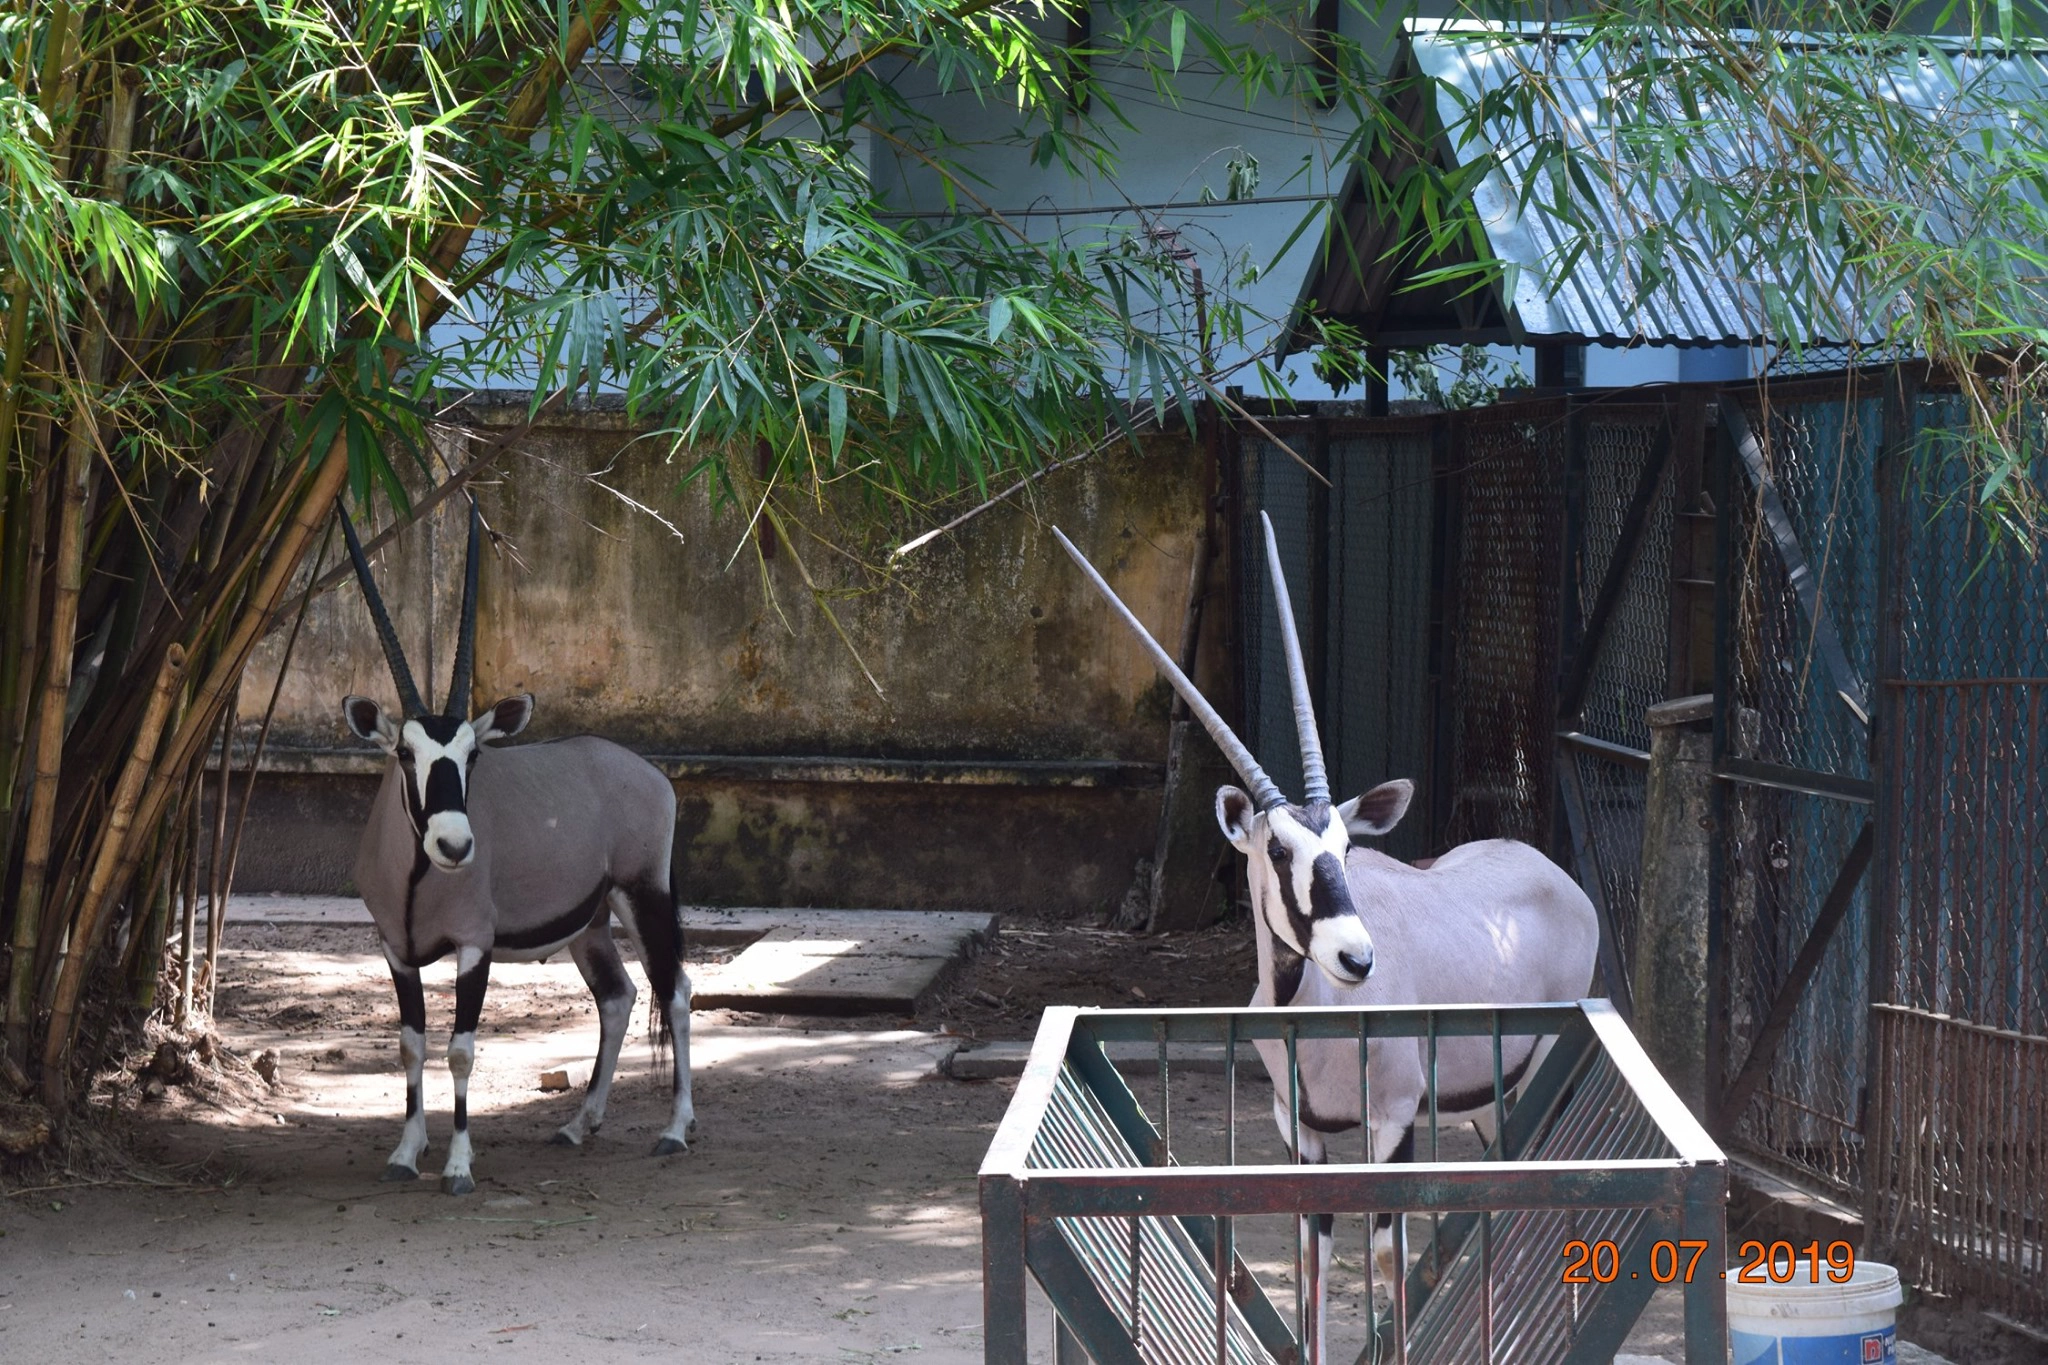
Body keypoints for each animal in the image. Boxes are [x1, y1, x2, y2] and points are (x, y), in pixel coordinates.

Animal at [331, 505, 692, 1195]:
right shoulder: (396, 950)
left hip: (643, 896)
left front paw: (458, 1166)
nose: (454, 843)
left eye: (473, 754)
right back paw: (578, 1125)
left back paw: (676, 1130)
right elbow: (412, 1045)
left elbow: (460, 1049)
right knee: (619, 997)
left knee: (676, 990)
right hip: (591, 923)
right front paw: (405, 1152)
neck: (416, 879)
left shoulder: (475, 945)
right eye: (405, 752)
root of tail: (647, 773)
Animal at [1056, 517, 1597, 1358]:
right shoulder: (1298, 1130)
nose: (1355, 956)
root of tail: (1554, 876)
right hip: (1490, 1101)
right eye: (1280, 851)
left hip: (1536, 1076)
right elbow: (1310, 1250)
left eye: (1345, 845)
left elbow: (1388, 1251)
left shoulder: (1393, 1119)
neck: (1309, 1010)